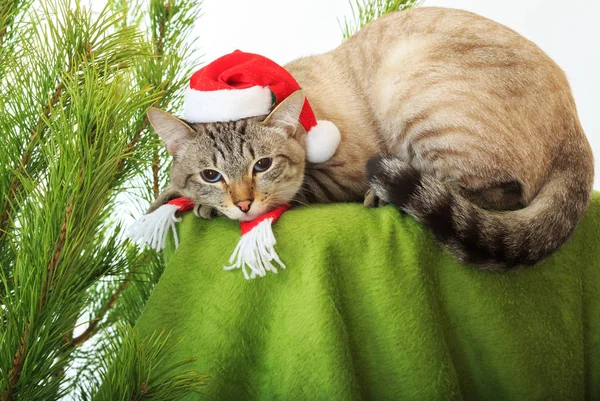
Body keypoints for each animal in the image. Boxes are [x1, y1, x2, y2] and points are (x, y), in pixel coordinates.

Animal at [146, 7, 596, 268]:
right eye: (211, 175)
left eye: (263, 165)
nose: (242, 204)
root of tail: (578, 131)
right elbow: (172, 190)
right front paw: (172, 200)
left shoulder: (341, 173)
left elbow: (298, 189)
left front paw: (195, 206)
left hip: (408, 88)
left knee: (499, 192)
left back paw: (382, 198)